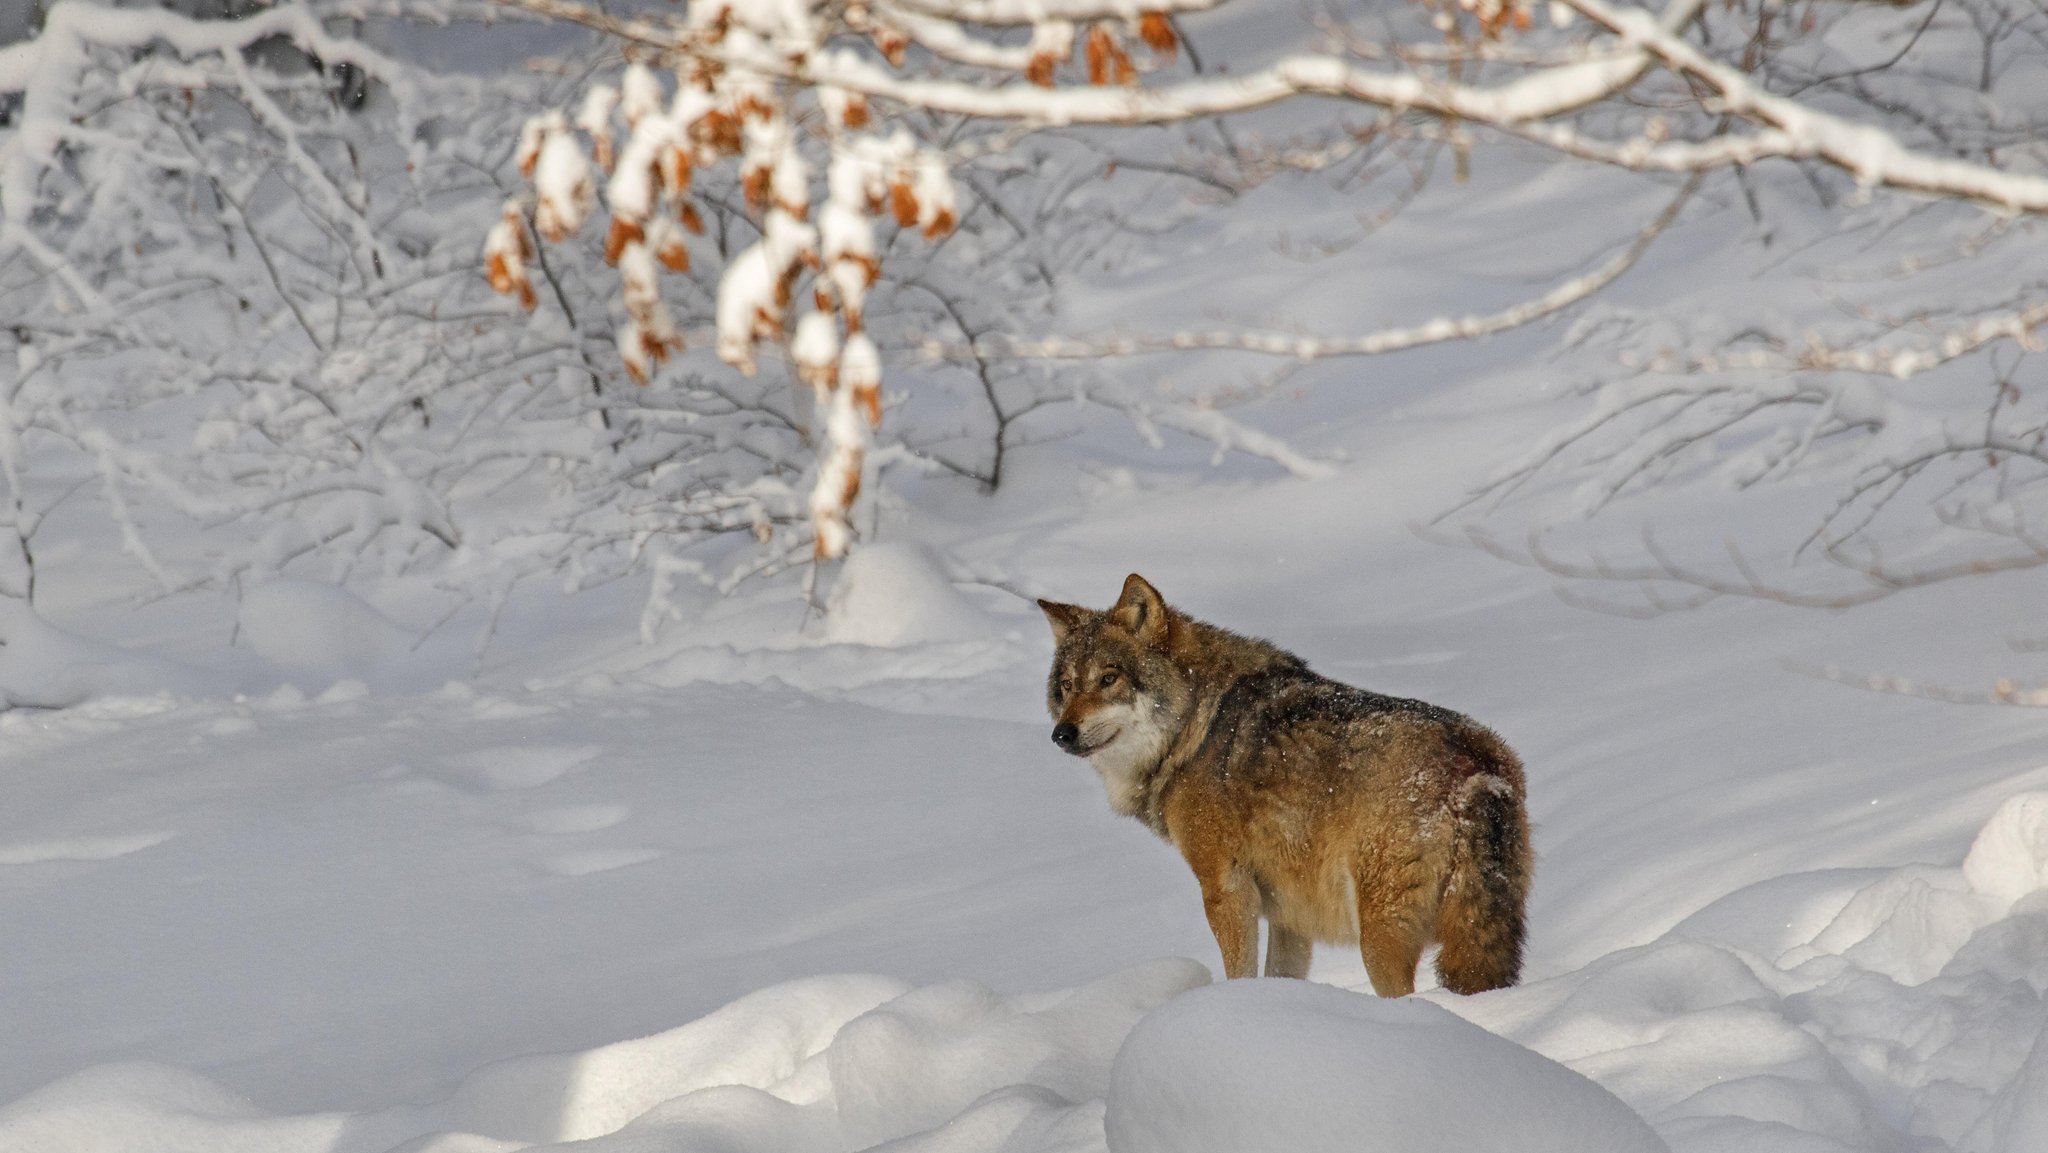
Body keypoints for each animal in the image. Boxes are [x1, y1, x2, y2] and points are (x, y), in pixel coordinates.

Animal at [1040, 573, 1540, 995]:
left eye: (1108, 679)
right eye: (1066, 686)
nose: (1061, 734)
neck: (1195, 727)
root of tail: (1476, 759)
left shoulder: (1225, 888)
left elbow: (1239, 971)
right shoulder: (1289, 916)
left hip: (1379, 938)